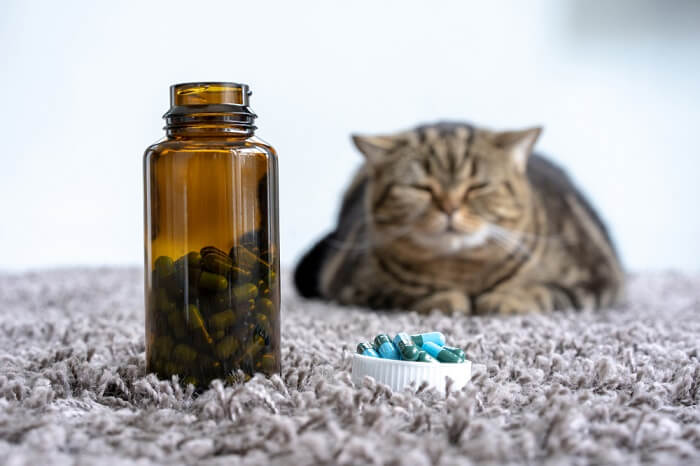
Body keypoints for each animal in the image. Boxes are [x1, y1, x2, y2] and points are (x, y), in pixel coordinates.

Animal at [294, 122, 624, 314]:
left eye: (477, 186)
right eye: (421, 188)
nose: (450, 207)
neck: (461, 271)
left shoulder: (598, 279)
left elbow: (547, 292)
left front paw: (505, 299)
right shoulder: (347, 282)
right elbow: (400, 294)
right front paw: (446, 299)